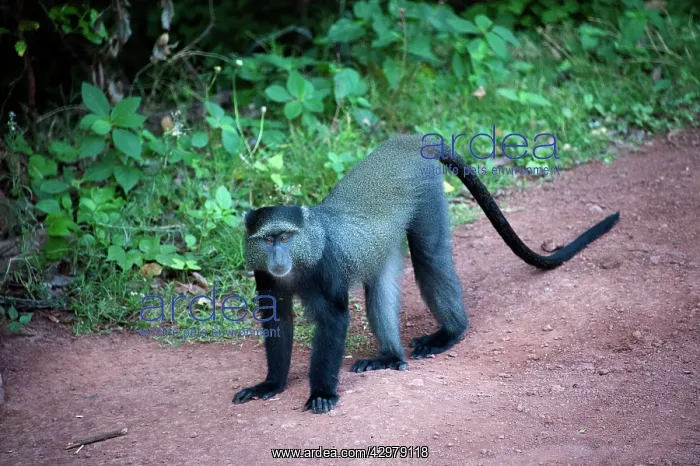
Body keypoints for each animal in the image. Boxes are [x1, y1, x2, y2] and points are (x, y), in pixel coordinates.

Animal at [232, 134, 619, 414]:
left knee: (430, 259)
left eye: (285, 237)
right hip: (386, 240)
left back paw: (450, 333)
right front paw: (271, 384)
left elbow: (333, 320)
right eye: (267, 240)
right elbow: (277, 320)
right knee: (380, 286)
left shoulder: (326, 266)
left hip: (426, 194)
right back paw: (390, 357)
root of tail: (404, 141)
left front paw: (322, 393)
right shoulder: (264, 276)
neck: (301, 258)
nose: (278, 255)